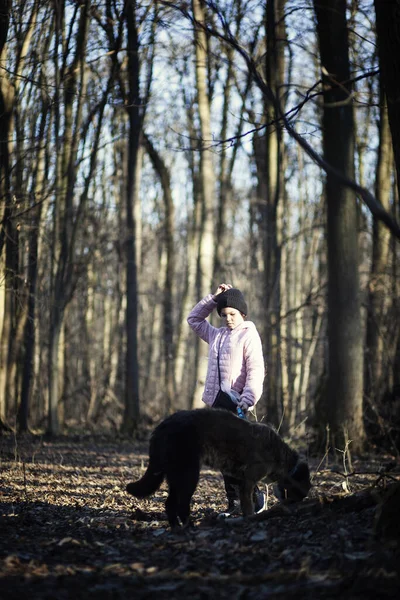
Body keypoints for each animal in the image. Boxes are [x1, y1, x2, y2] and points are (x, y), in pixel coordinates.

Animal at [126, 408, 310, 528]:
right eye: (295, 497)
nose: (291, 510)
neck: (285, 461)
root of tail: (162, 426)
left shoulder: (240, 481)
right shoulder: (248, 481)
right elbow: (248, 506)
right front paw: (250, 520)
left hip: (176, 475)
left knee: (170, 503)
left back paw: (177, 527)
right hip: (189, 474)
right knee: (182, 504)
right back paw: (189, 526)